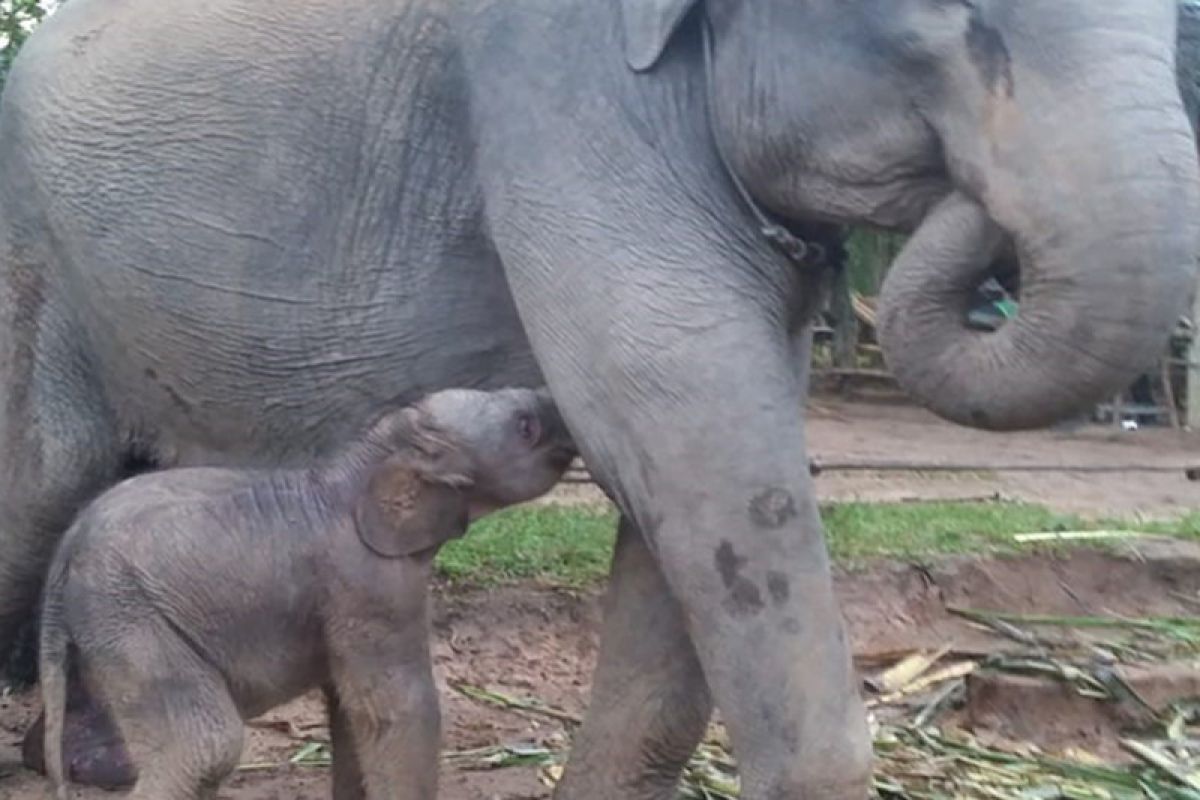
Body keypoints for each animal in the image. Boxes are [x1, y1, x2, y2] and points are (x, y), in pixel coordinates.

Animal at [39, 383, 573, 796]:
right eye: (526, 427)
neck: (363, 463)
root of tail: (65, 550)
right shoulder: (369, 586)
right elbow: (397, 711)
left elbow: (351, 715)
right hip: (130, 617)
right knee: (206, 748)